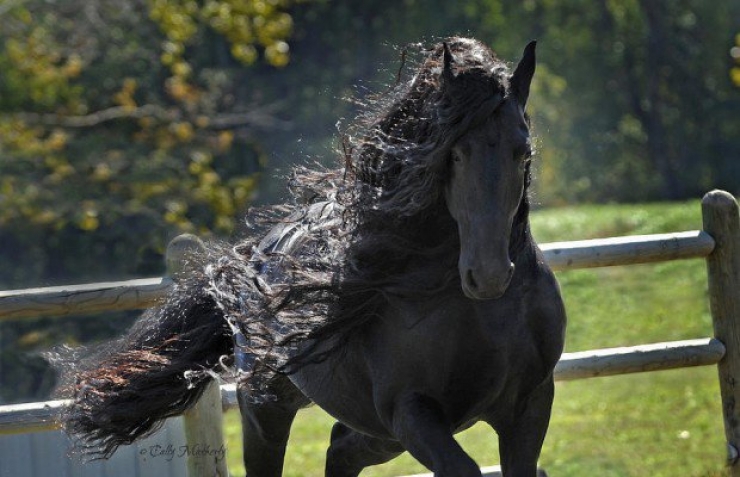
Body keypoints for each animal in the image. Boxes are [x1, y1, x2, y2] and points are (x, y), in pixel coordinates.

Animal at [56, 37, 566, 477]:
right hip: (270, 408)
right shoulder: (412, 411)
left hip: (375, 432)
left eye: (523, 152)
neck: (481, 316)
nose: (488, 275)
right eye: (454, 154)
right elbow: (461, 468)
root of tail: (254, 256)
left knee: (340, 451)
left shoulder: (529, 405)